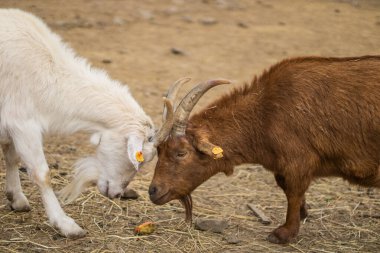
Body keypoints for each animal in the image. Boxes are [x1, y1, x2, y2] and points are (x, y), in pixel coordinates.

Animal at [0, 8, 157, 237]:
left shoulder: (11, 125)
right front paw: (66, 225)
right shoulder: (23, 122)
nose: (117, 193)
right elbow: (42, 174)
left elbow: (11, 157)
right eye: (141, 158)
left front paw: (17, 199)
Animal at [148, 56, 380, 244]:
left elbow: (293, 190)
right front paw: (303, 213)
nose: (153, 191)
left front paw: (284, 233)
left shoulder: (298, 162)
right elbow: (285, 187)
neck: (265, 113)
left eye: (181, 152)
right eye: (159, 150)